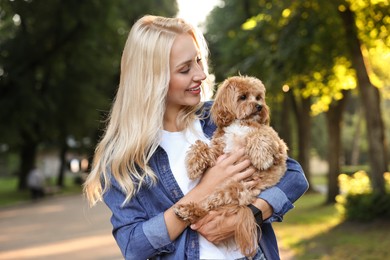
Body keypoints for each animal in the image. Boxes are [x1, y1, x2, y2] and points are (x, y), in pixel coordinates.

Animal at [173, 75, 286, 258]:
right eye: (243, 97)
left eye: (258, 97)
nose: (260, 107)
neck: (240, 123)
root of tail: (243, 202)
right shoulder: (219, 150)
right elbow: (200, 146)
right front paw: (193, 166)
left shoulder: (280, 148)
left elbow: (261, 134)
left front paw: (260, 156)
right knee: (205, 206)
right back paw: (187, 210)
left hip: (232, 189)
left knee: (208, 205)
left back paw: (189, 210)